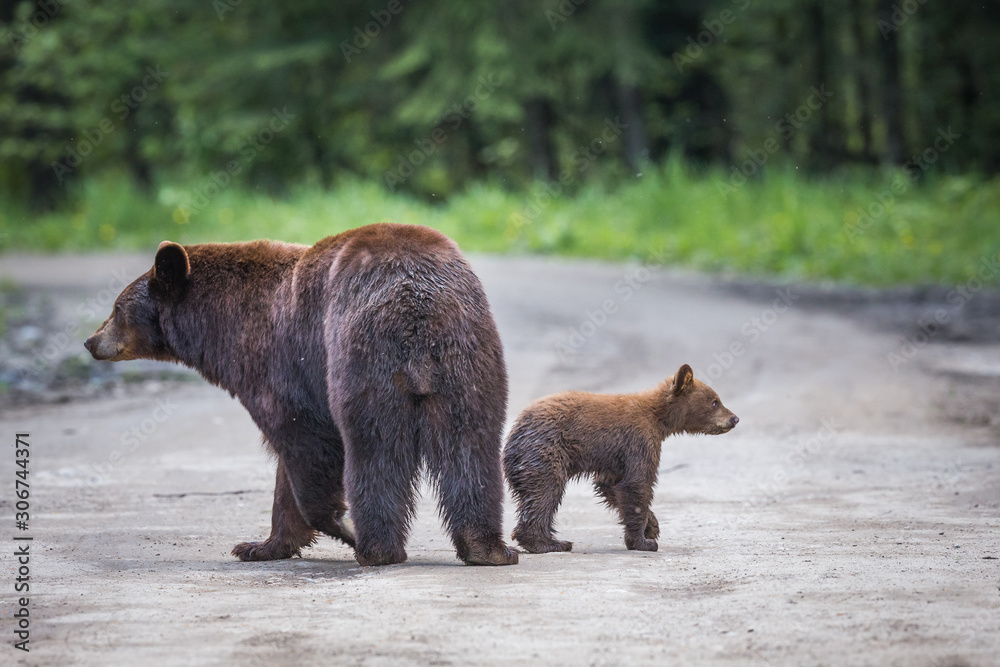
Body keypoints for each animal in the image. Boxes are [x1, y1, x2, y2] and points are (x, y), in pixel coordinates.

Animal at [84, 222, 518, 567]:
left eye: (116, 307)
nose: (90, 341)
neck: (222, 324)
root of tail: (418, 306)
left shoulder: (280, 367)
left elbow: (304, 446)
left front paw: (339, 525)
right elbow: (287, 473)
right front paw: (260, 545)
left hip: (361, 353)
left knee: (373, 445)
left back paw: (376, 548)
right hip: (470, 360)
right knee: (471, 444)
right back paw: (487, 548)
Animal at [502, 364, 738, 553]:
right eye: (715, 401)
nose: (734, 418)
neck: (659, 418)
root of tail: (513, 434)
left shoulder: (614, 459)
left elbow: (612, 486)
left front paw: (652, 526)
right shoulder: (639, 441)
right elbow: (637, 483)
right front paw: (643, 541)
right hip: (544, 451)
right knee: (545, 491)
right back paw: (549, 543)